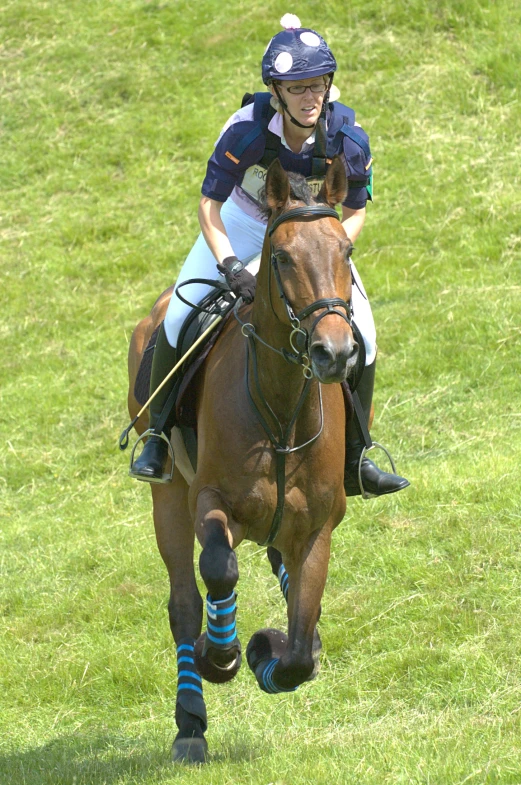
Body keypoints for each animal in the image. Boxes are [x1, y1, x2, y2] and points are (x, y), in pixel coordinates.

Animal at [127, 156, 358, 764]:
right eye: (282, 258)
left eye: (346, 251)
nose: (334, 352)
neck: (280, 408)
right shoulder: (211, 500)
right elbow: (219, 568)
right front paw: (225, 654)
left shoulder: (319, 526)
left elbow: (298, 645)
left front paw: (267, 653)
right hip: (167, 495)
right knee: (185, 601)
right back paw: (191, 720)